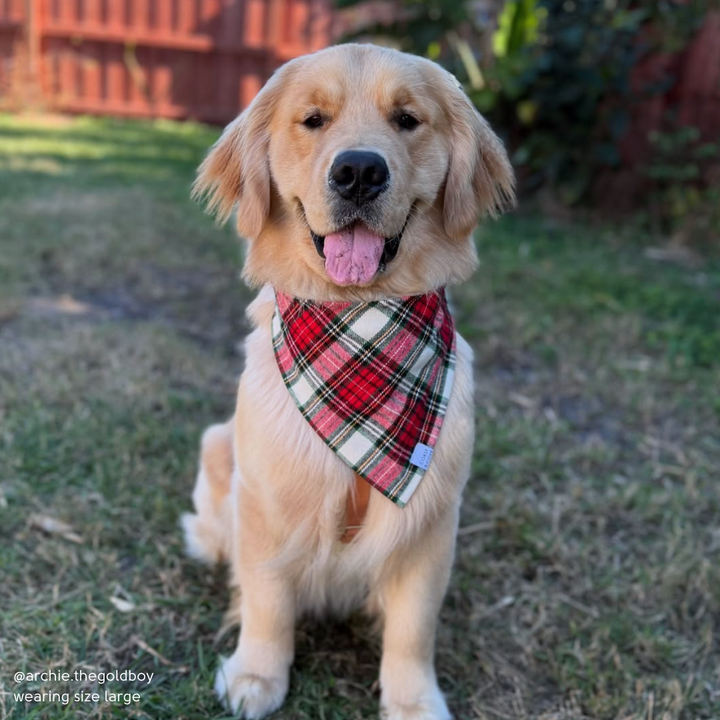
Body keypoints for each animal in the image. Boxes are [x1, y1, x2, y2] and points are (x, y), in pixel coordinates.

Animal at [183, 43, 516, 720]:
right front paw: (256, 676)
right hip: (216, 445)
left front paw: (414, 701)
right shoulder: (266, 510)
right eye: (313, 120)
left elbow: (414, 629)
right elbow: (267, 601)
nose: (359, 172)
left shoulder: (432, 527)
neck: (358, 324)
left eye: (407, 119)